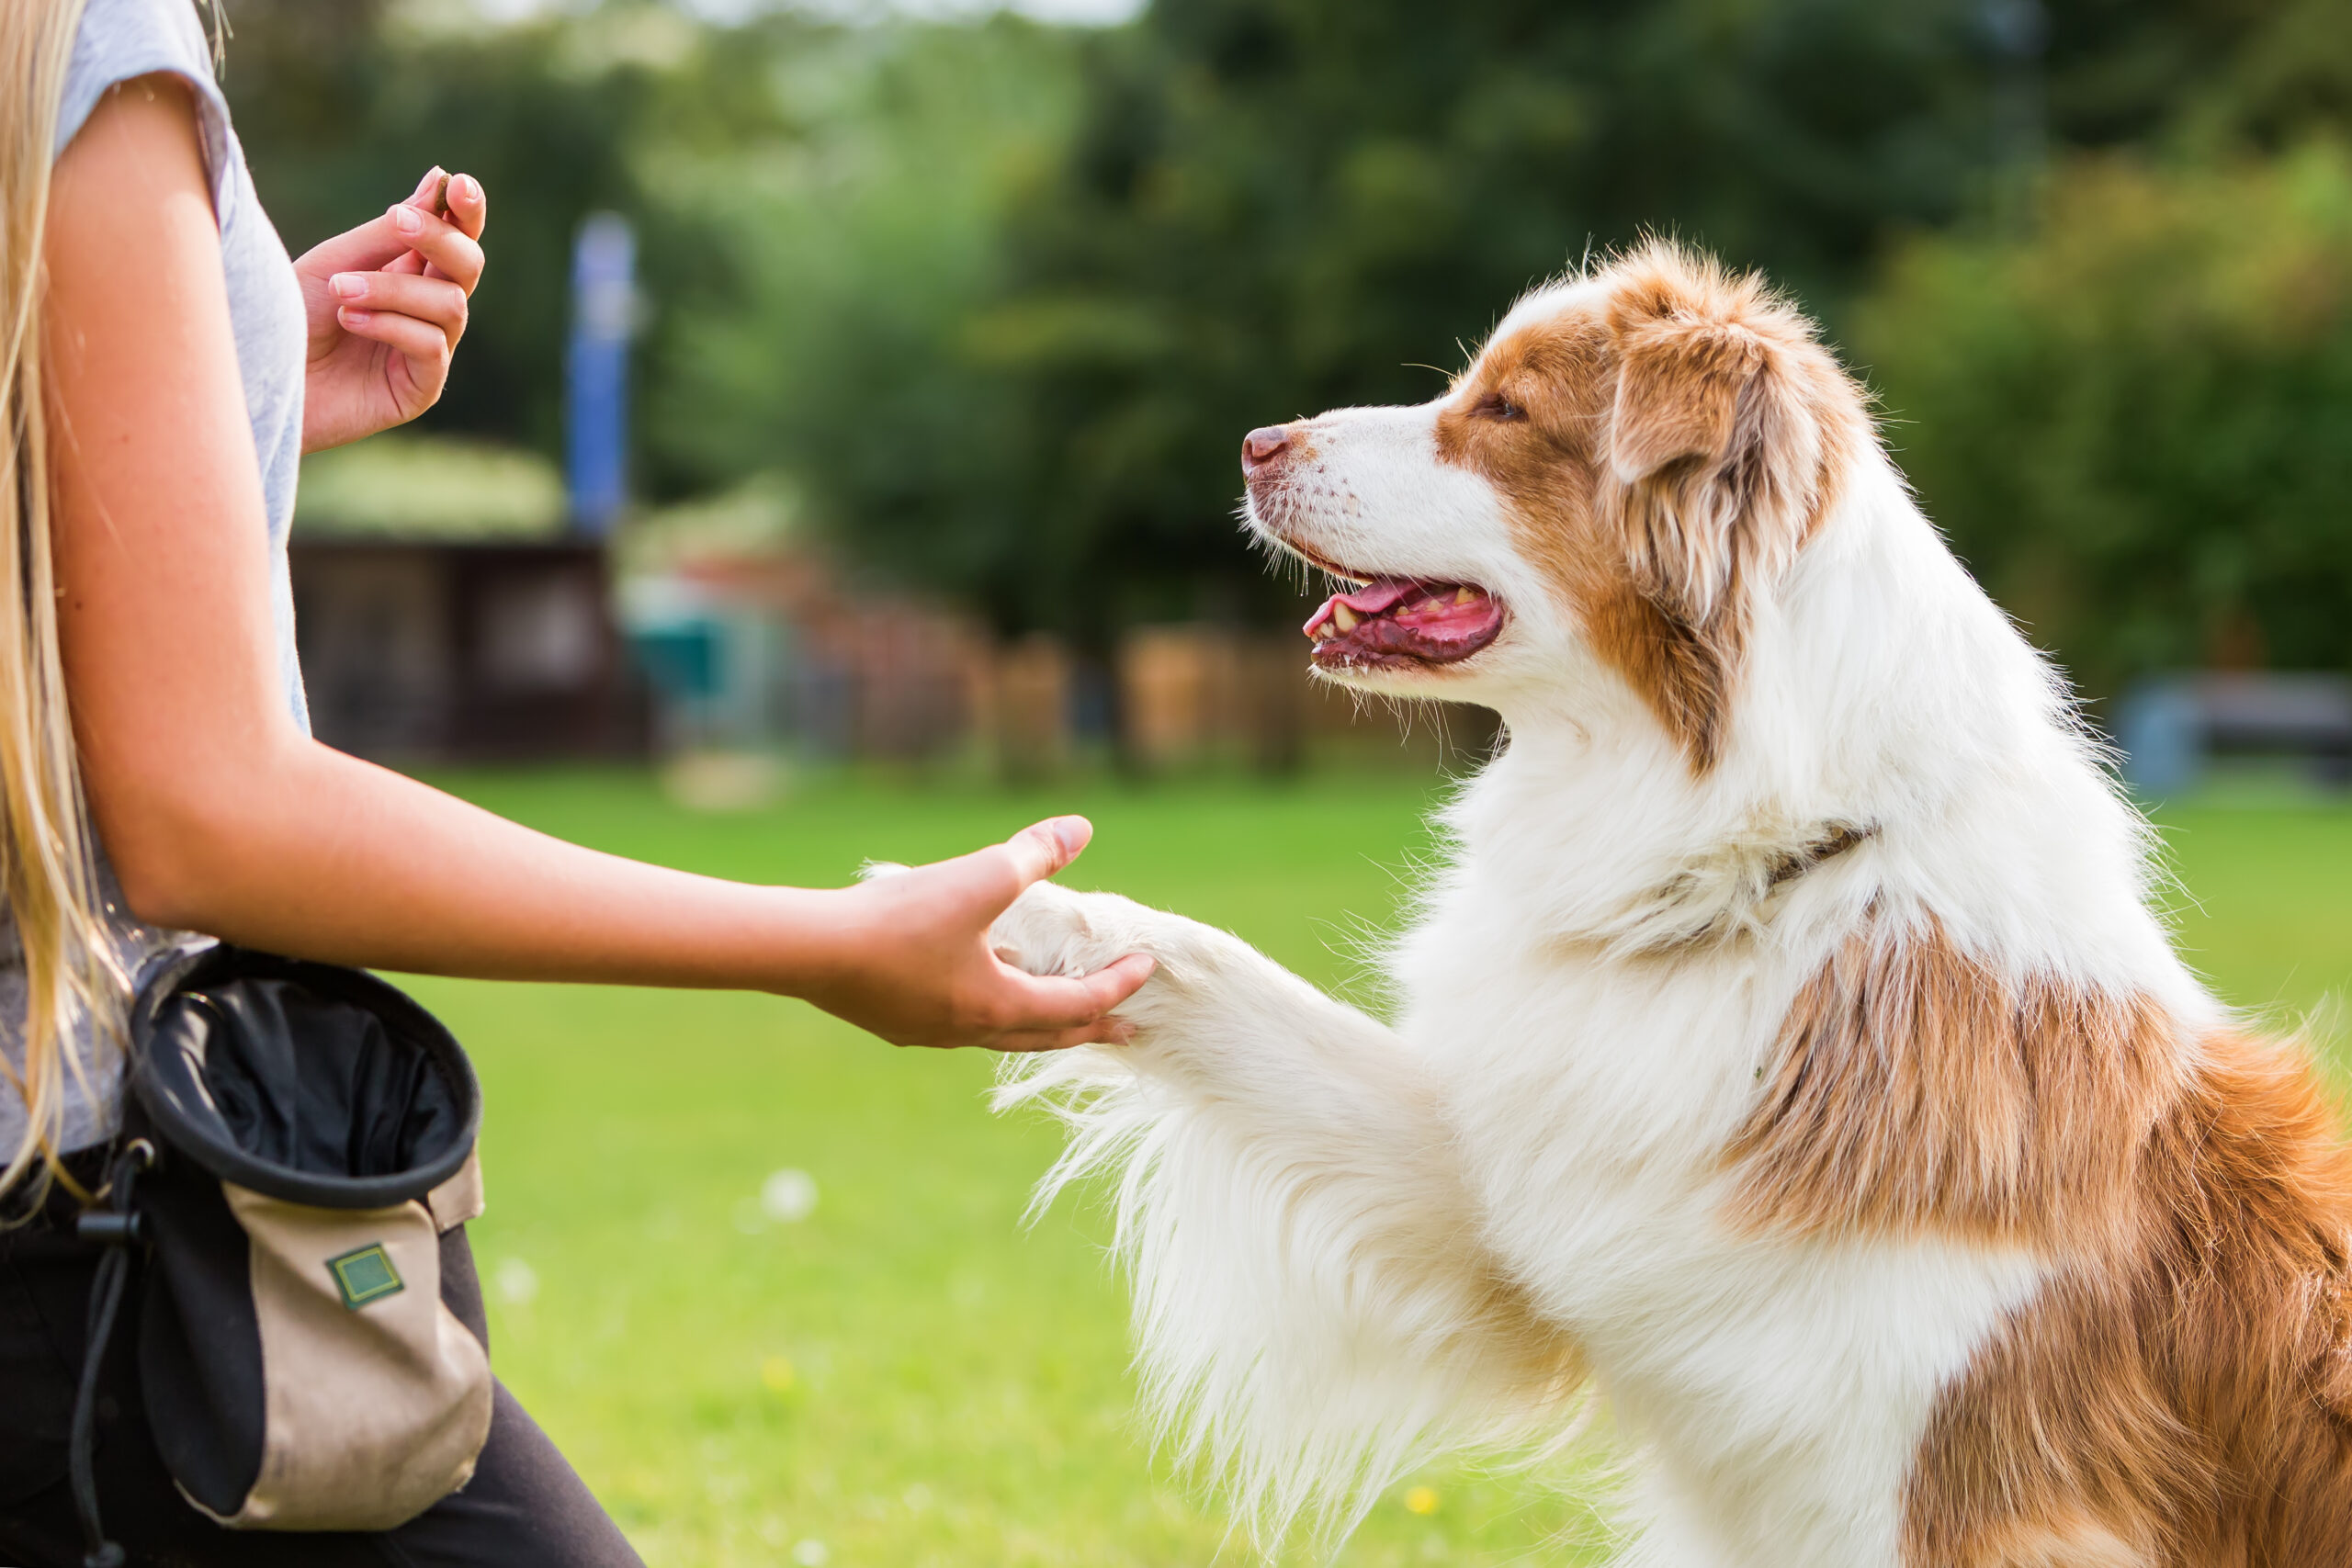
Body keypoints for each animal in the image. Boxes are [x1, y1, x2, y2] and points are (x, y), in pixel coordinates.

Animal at [983, 245, 2352, 1568]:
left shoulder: (1957, 1495)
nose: (1256, 442)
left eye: (1504, 410)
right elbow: (1221, 973)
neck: (1764, 874)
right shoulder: (1538, 1189)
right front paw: (1007, 915)